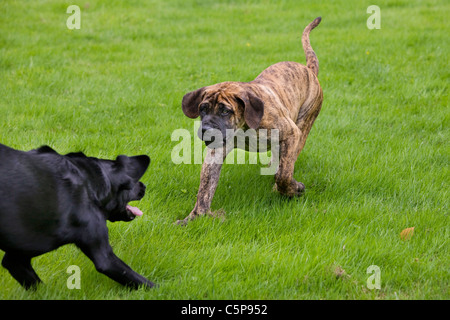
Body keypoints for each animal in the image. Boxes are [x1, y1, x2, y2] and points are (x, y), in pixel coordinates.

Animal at [0, 144, 155, 288]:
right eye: (133, 183)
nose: (144, 186)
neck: (89, 183)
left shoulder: (17, 258)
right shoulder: (105, 257)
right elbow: (140, 280)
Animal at [179, 16, 324, 224]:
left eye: (225, 111)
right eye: (202, 109)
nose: (206, 129)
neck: (243, 127)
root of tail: (308, 69)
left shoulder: (290, 133)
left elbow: (284, 175)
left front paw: (293, 189)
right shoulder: (216, 152)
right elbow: (205, 187)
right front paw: (194, 217)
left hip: (304, 126)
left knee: (287, 163)